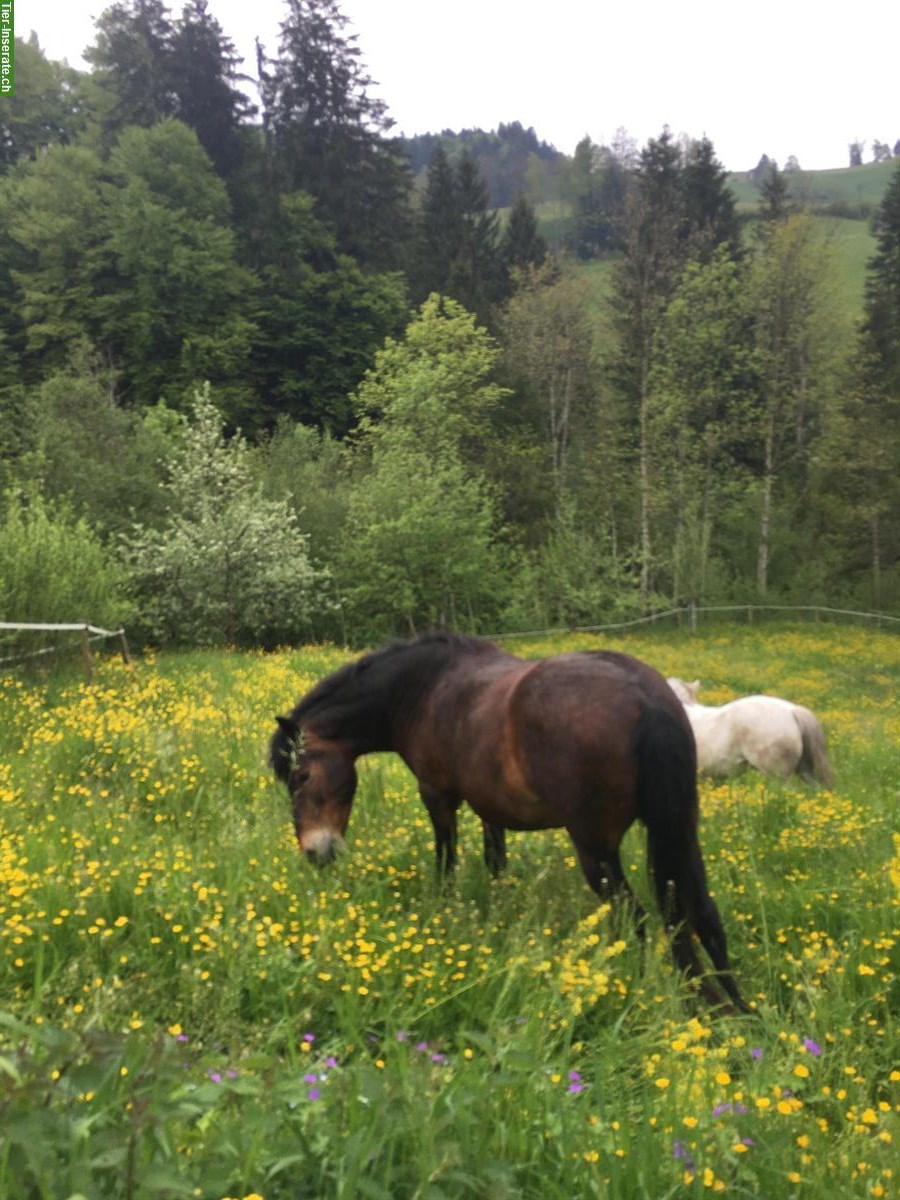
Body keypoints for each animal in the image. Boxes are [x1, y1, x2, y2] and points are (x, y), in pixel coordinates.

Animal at [271, 633, 748, 1008]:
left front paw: (444, 914)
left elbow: (447, 861)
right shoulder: (490, 807)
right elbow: (495, 861)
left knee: (635, 916)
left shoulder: (437, 795)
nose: (316, 852)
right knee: (703, 916)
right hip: (680, 830)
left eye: (301, 776)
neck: (422, 688)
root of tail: (646, 698)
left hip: (596, 848)